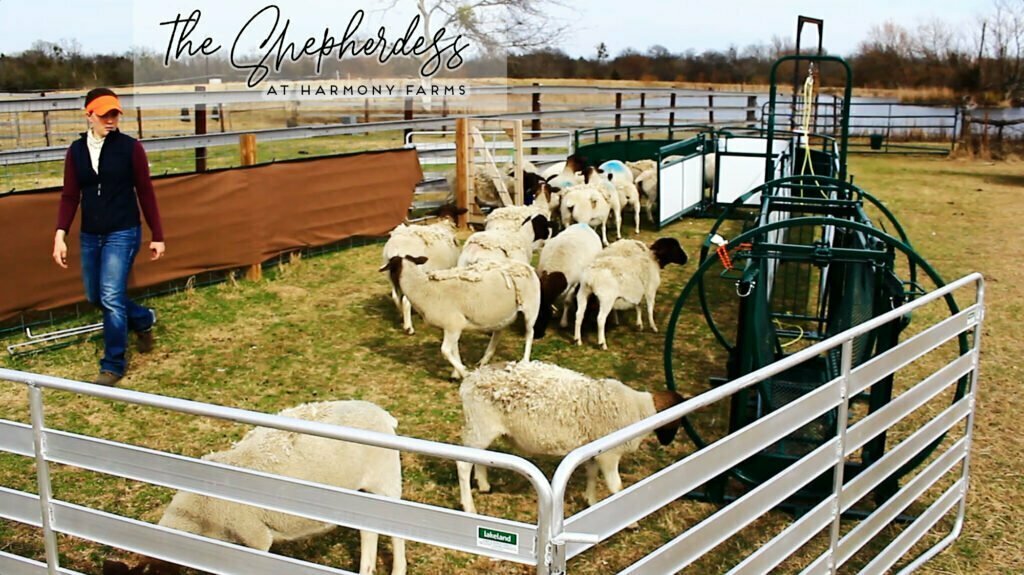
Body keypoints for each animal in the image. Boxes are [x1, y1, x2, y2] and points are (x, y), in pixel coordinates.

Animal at [380, 253, 557, 378]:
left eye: (391, 267)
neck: (423, 289)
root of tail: (527, 267)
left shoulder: (453, 324)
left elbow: (445, 350)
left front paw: (464, 372)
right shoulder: (453, 326)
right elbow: (454, 350)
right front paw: (456, 373)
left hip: (531, 307)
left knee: (529, 333)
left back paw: (524, 361)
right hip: (503, 312)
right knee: (498, 333)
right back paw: (484, 360)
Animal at [382, 203, 466, 333]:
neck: (445, 223)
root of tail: (397, 248)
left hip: (390, 275)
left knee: (396, 297)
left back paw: (401, 317)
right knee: (405, 300)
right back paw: (409, 328)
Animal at [458, 360, 684, 511]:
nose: (667, 442)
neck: (639, 410)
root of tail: (470, 379)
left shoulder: (593, 449)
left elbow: (591, 474)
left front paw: (591, 501)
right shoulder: (609, 454)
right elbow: (617, 486)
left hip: (482, 429)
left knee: (480, 456)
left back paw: (484, 485)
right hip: (479, 425)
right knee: (463, 464)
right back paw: (469, 506)